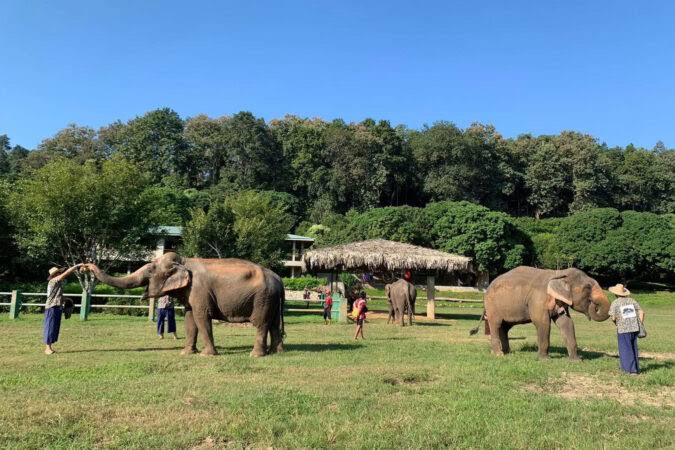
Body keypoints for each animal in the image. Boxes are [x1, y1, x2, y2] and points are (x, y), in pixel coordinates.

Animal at [85, 252, 285, 357]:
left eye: (151, 270)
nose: (85, 266)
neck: (184, 261)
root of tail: (279, 279)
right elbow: (190, 319)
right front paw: (186, 352)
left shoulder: (199, 290)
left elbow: (201, 317)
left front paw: (206, 355)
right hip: (272, 300)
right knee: (274, 324)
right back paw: (276, 352)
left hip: (263, 298)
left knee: (261, 323)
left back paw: (256, 355)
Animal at [479, 266, 610, 360]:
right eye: (587, 287)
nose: (594, 304)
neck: (558, 273)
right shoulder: (538, 299)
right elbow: (543, 323)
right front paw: (545, 359)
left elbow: (566, 322)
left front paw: (576, 360)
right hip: (492, 306)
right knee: (496, 325)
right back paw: (498, 355)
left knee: (504, 327)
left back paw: (507, 353)